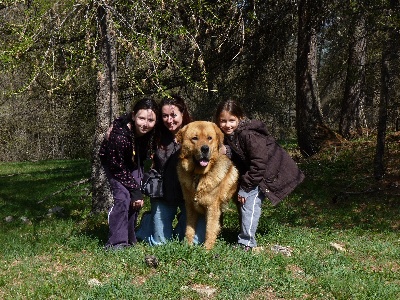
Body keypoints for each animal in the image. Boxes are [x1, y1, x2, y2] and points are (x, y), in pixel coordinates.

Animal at [176, 120, 238, 250]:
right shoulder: (190, 206)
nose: (205, 149)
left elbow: (210, 230)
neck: (198, 176)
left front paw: (207, 250)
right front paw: (187, 246)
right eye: (195, 138)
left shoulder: (212, 207)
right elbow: (189, 230)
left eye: (209, 138)